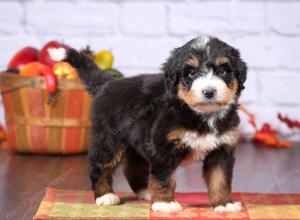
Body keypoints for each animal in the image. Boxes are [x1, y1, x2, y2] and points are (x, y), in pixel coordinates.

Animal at [49, 35, 246, 212]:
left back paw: (146, 191)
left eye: (222, 71)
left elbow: (220, 179)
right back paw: (105, 196)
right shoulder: (162, 146)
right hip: (109, 139)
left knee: (133, 168)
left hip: (137, 141)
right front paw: (165, 203)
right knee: (99, 165)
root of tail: (107, 83)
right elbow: (164, 177)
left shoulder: (222, 149)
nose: (209, 92)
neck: (203, 115)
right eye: (191, 72)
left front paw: (223, 204)